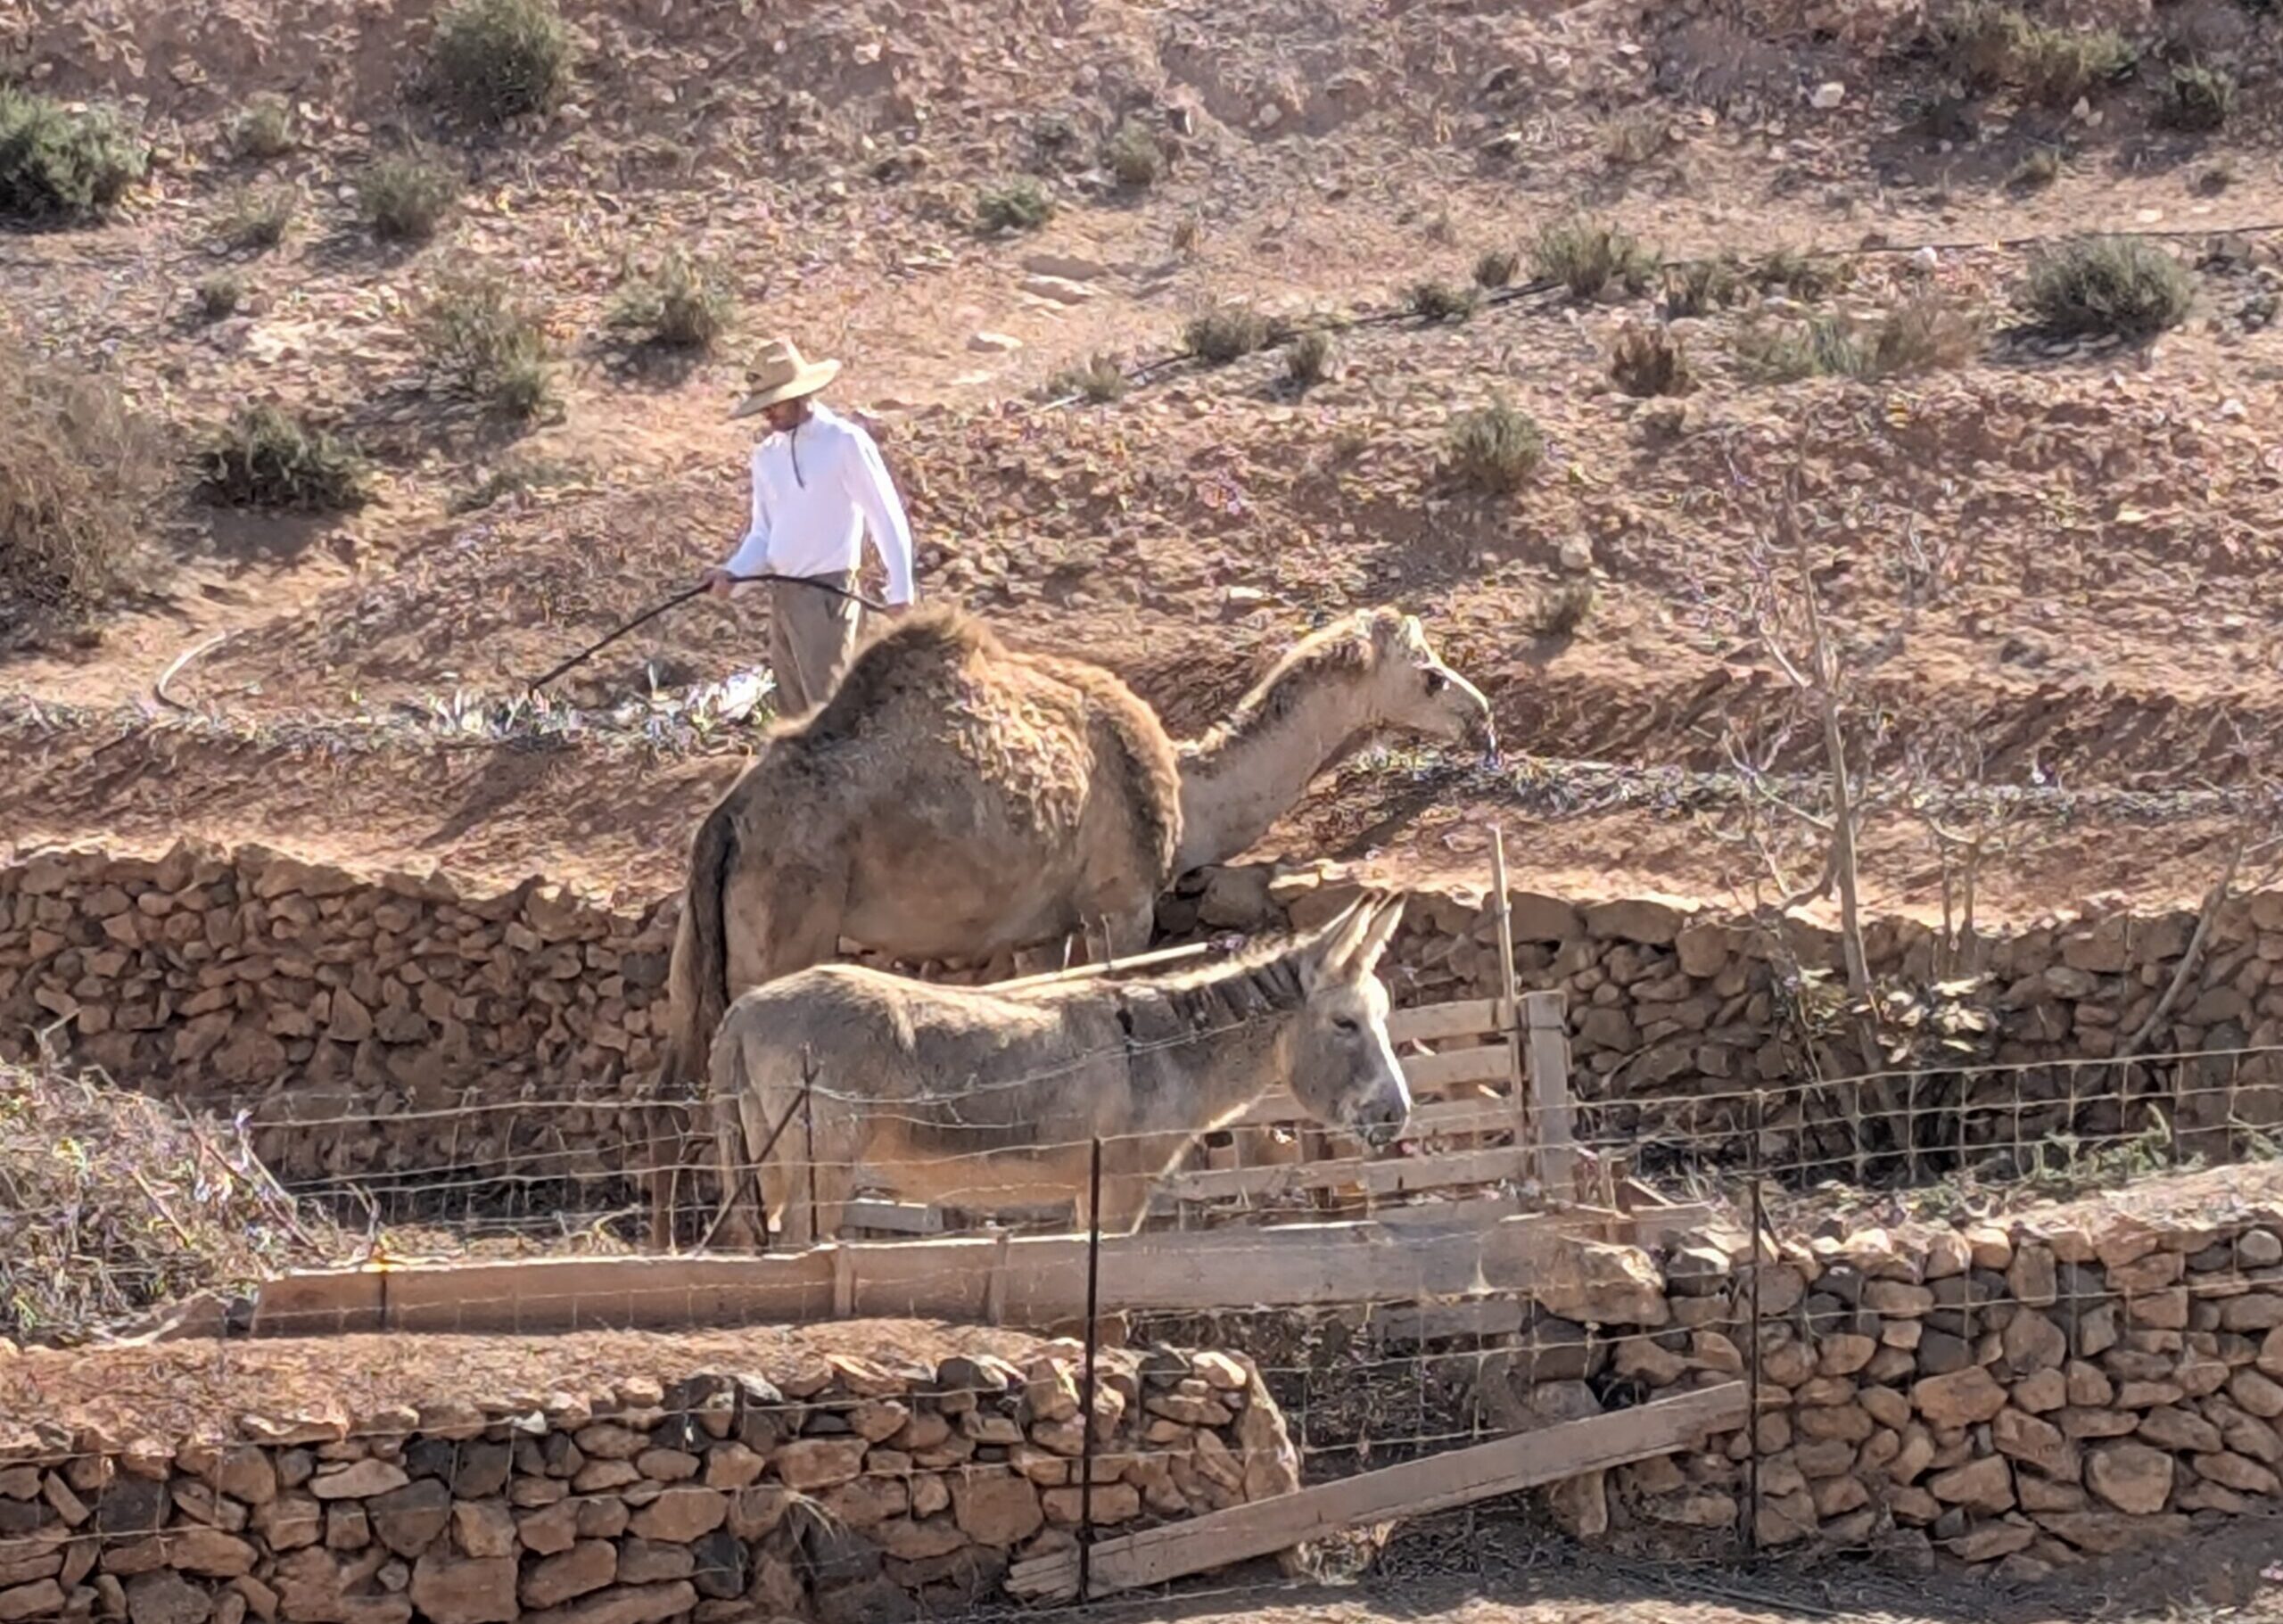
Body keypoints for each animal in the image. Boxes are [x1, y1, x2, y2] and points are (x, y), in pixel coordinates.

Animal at [706, 891, 1412, 1246]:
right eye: (1346, 1025)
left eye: (1384, 1016)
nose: (1398, 1115)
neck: (1169, 1052)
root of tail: (741, 1009)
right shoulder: (1124, 1186)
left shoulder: (1087, 1191)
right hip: (821, 1159)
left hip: (768, 1161)